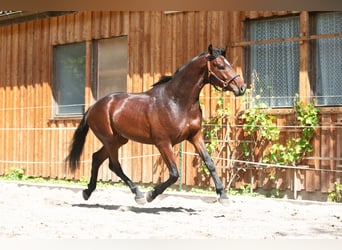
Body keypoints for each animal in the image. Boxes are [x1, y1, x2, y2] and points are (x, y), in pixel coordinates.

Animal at [66, 45, 246, 205]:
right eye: (220, 65)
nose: (242, 87)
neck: (177, 101)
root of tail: (93, 107)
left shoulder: (195, 136)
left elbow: (210, 163)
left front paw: (223, 196)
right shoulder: (163, 143)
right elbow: (174, 173)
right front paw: (151, 194)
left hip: (119, 140)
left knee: (97, 158)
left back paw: (88, 191)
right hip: (110, 140)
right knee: (114, 165)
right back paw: (138, 194)